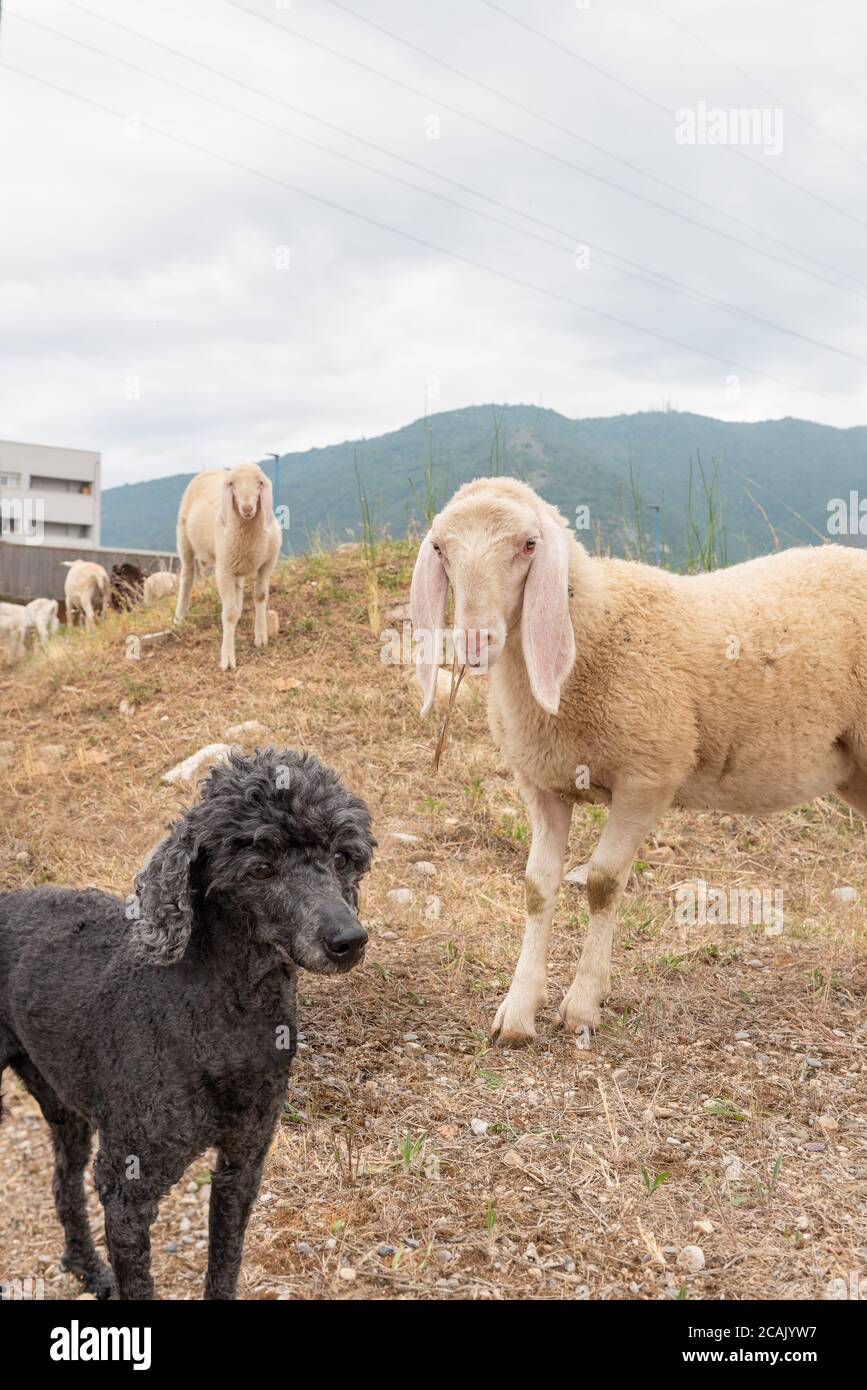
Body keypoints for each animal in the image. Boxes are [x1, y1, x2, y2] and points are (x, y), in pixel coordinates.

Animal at [0, 750, 375, 1301]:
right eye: (260, 869)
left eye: (343, 858)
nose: (348, 940)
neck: (222, 1023)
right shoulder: (127, 1186)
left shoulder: (243, 1161)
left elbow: (225, 1261)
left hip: (64, 1107)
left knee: (65, 1185)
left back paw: (87, 1268)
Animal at [174, 461, 283, 667]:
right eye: (232, 484)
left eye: (260, 482)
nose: (247, 508)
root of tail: (209, 470)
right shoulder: (224, 571)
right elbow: (229, 614)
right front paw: (228, 658)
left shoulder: (266, 565)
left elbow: (260, 597)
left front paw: (261, 637)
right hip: (184, 538)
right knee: (187, 576)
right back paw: (179, 618)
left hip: (234, 561)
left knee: (237, 587)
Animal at [408, 472, 867, 1045]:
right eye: (440, 550)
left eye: (529, 545)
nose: (474, 641)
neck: (596, 630)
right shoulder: (541, 784)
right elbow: (537, 887)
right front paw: (516, 1012)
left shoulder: (648, 779)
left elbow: (603, 882)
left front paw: (582, 1005)